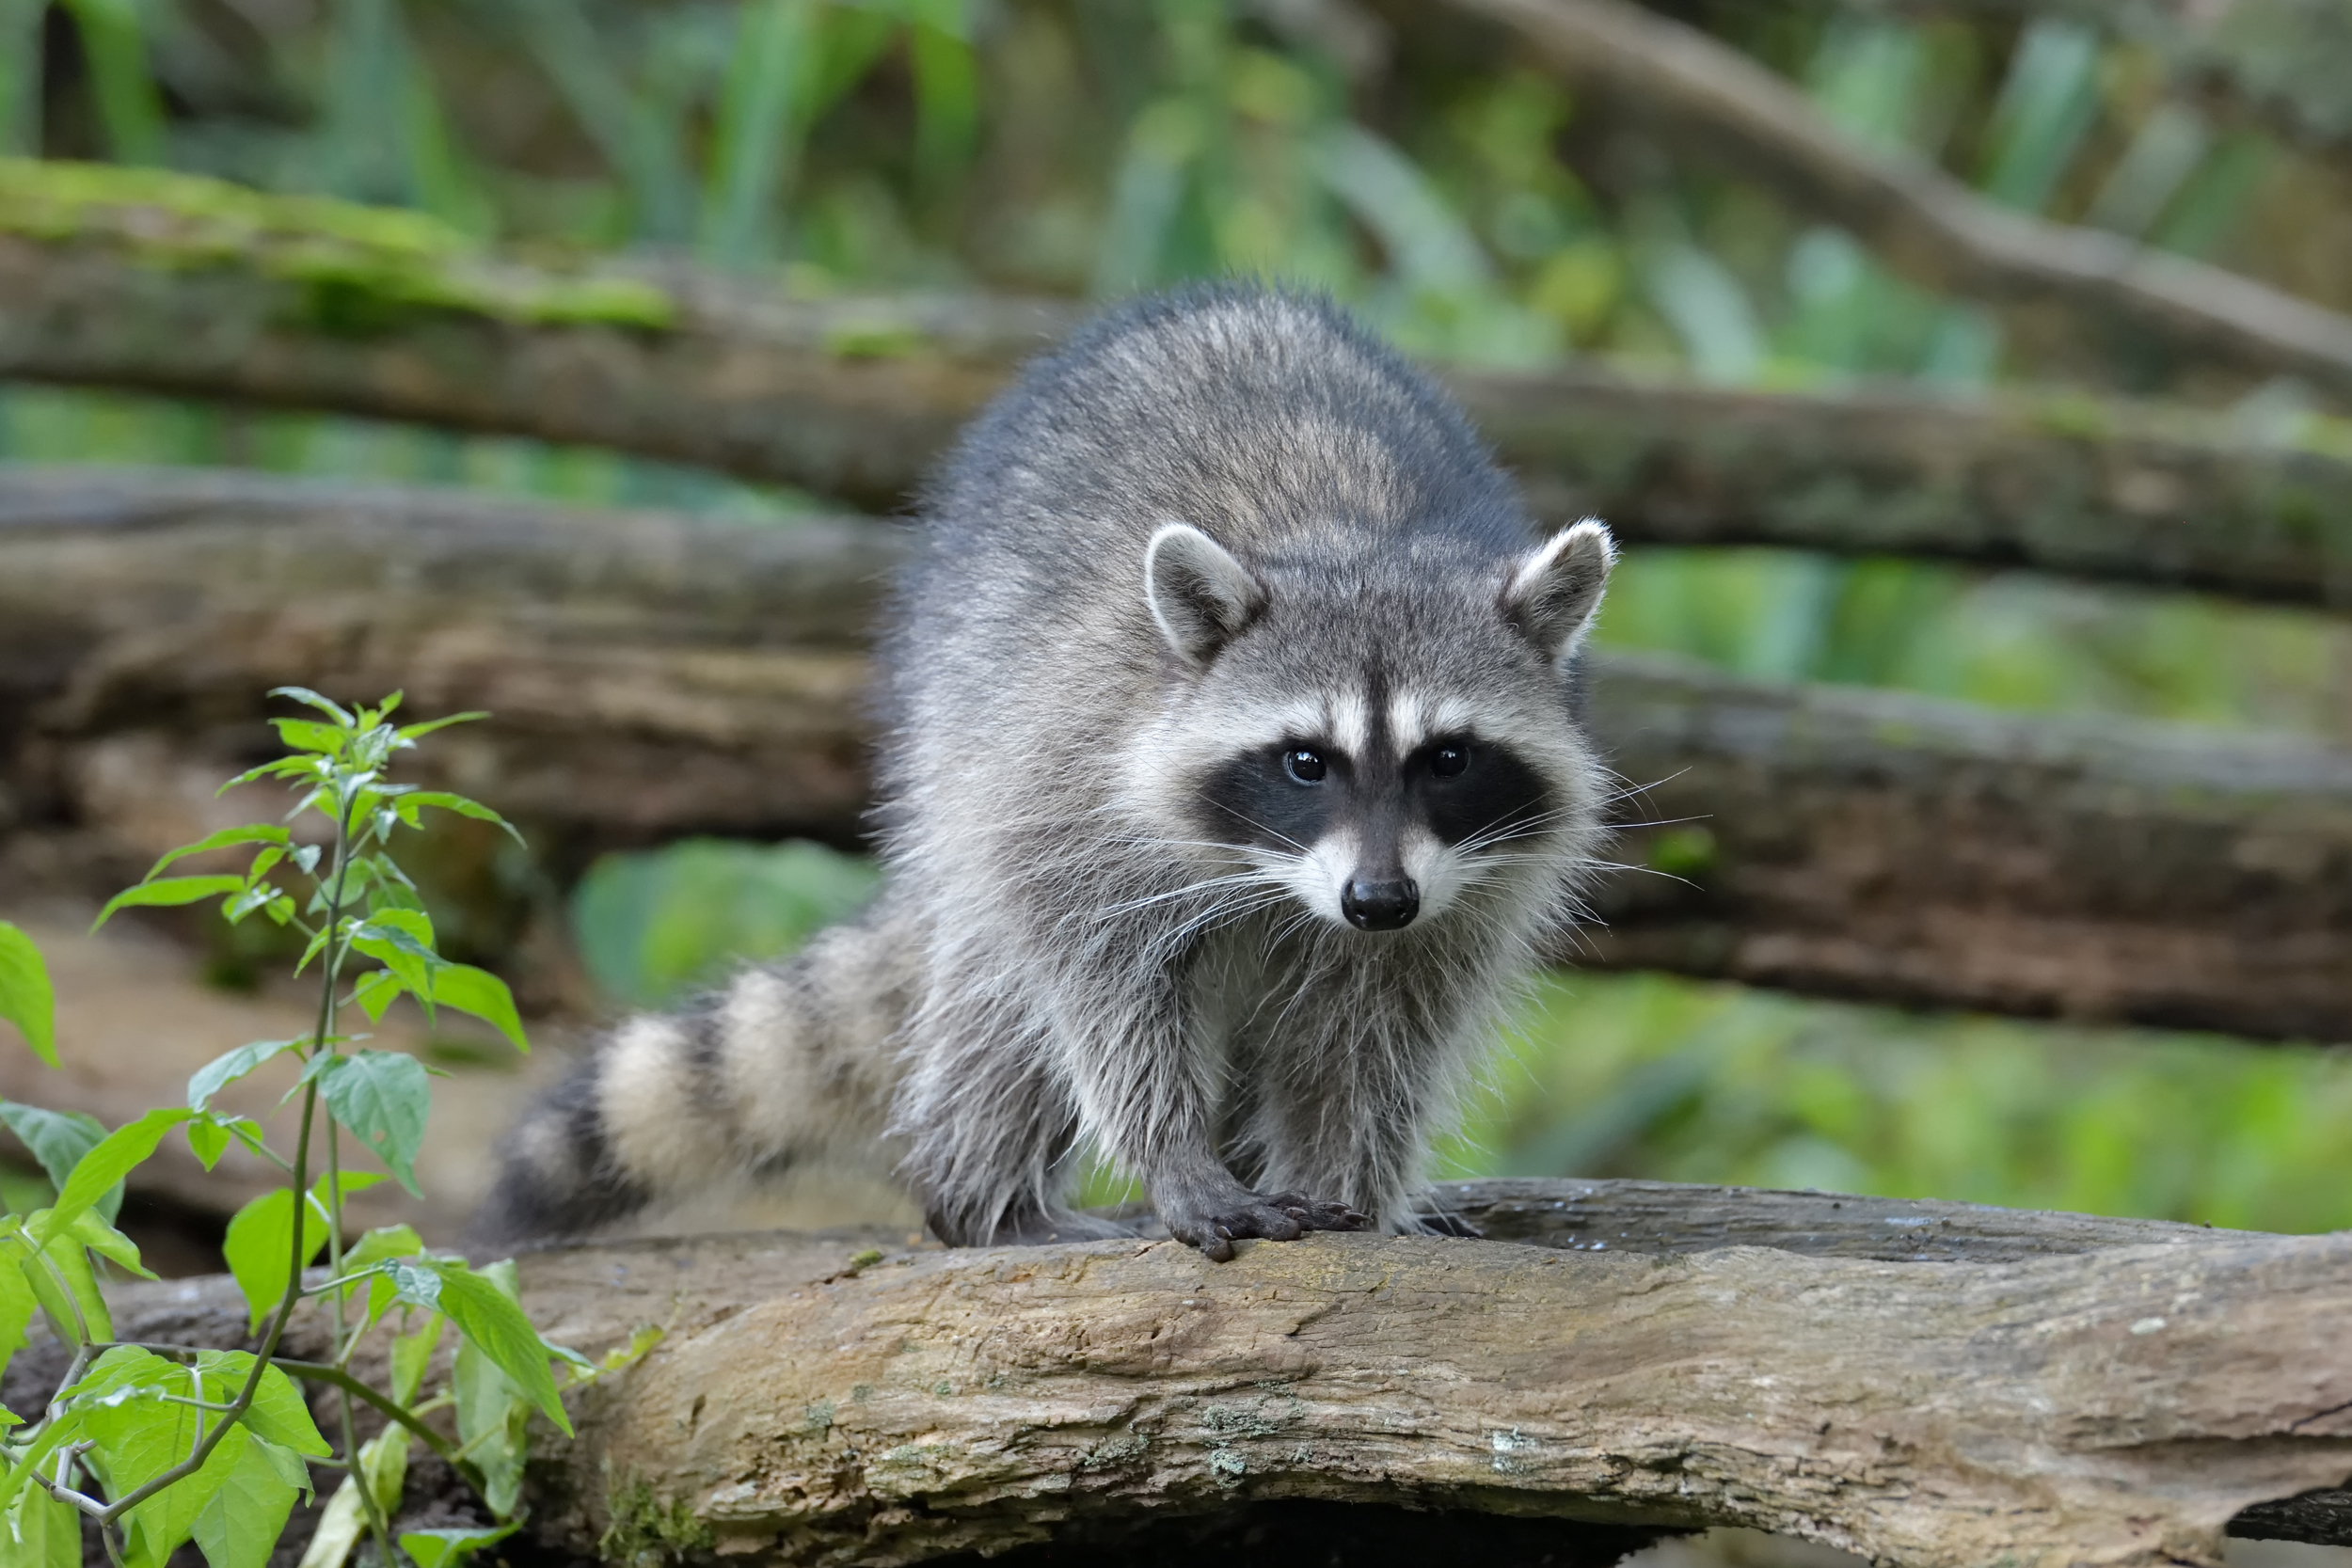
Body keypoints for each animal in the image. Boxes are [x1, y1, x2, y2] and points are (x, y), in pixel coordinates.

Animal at [477, 286, 1616, 1261]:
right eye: (1306, 761)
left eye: (1448, 758)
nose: (1377, 899)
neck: (1359, 543)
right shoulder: (1076, 771)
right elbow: (1094, 975)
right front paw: (1171, 1153)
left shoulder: (1465, 888)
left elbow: (1376, 1037)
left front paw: (1353, 1188)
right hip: (959, 723)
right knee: (998, 1003)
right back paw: (985, 1195)